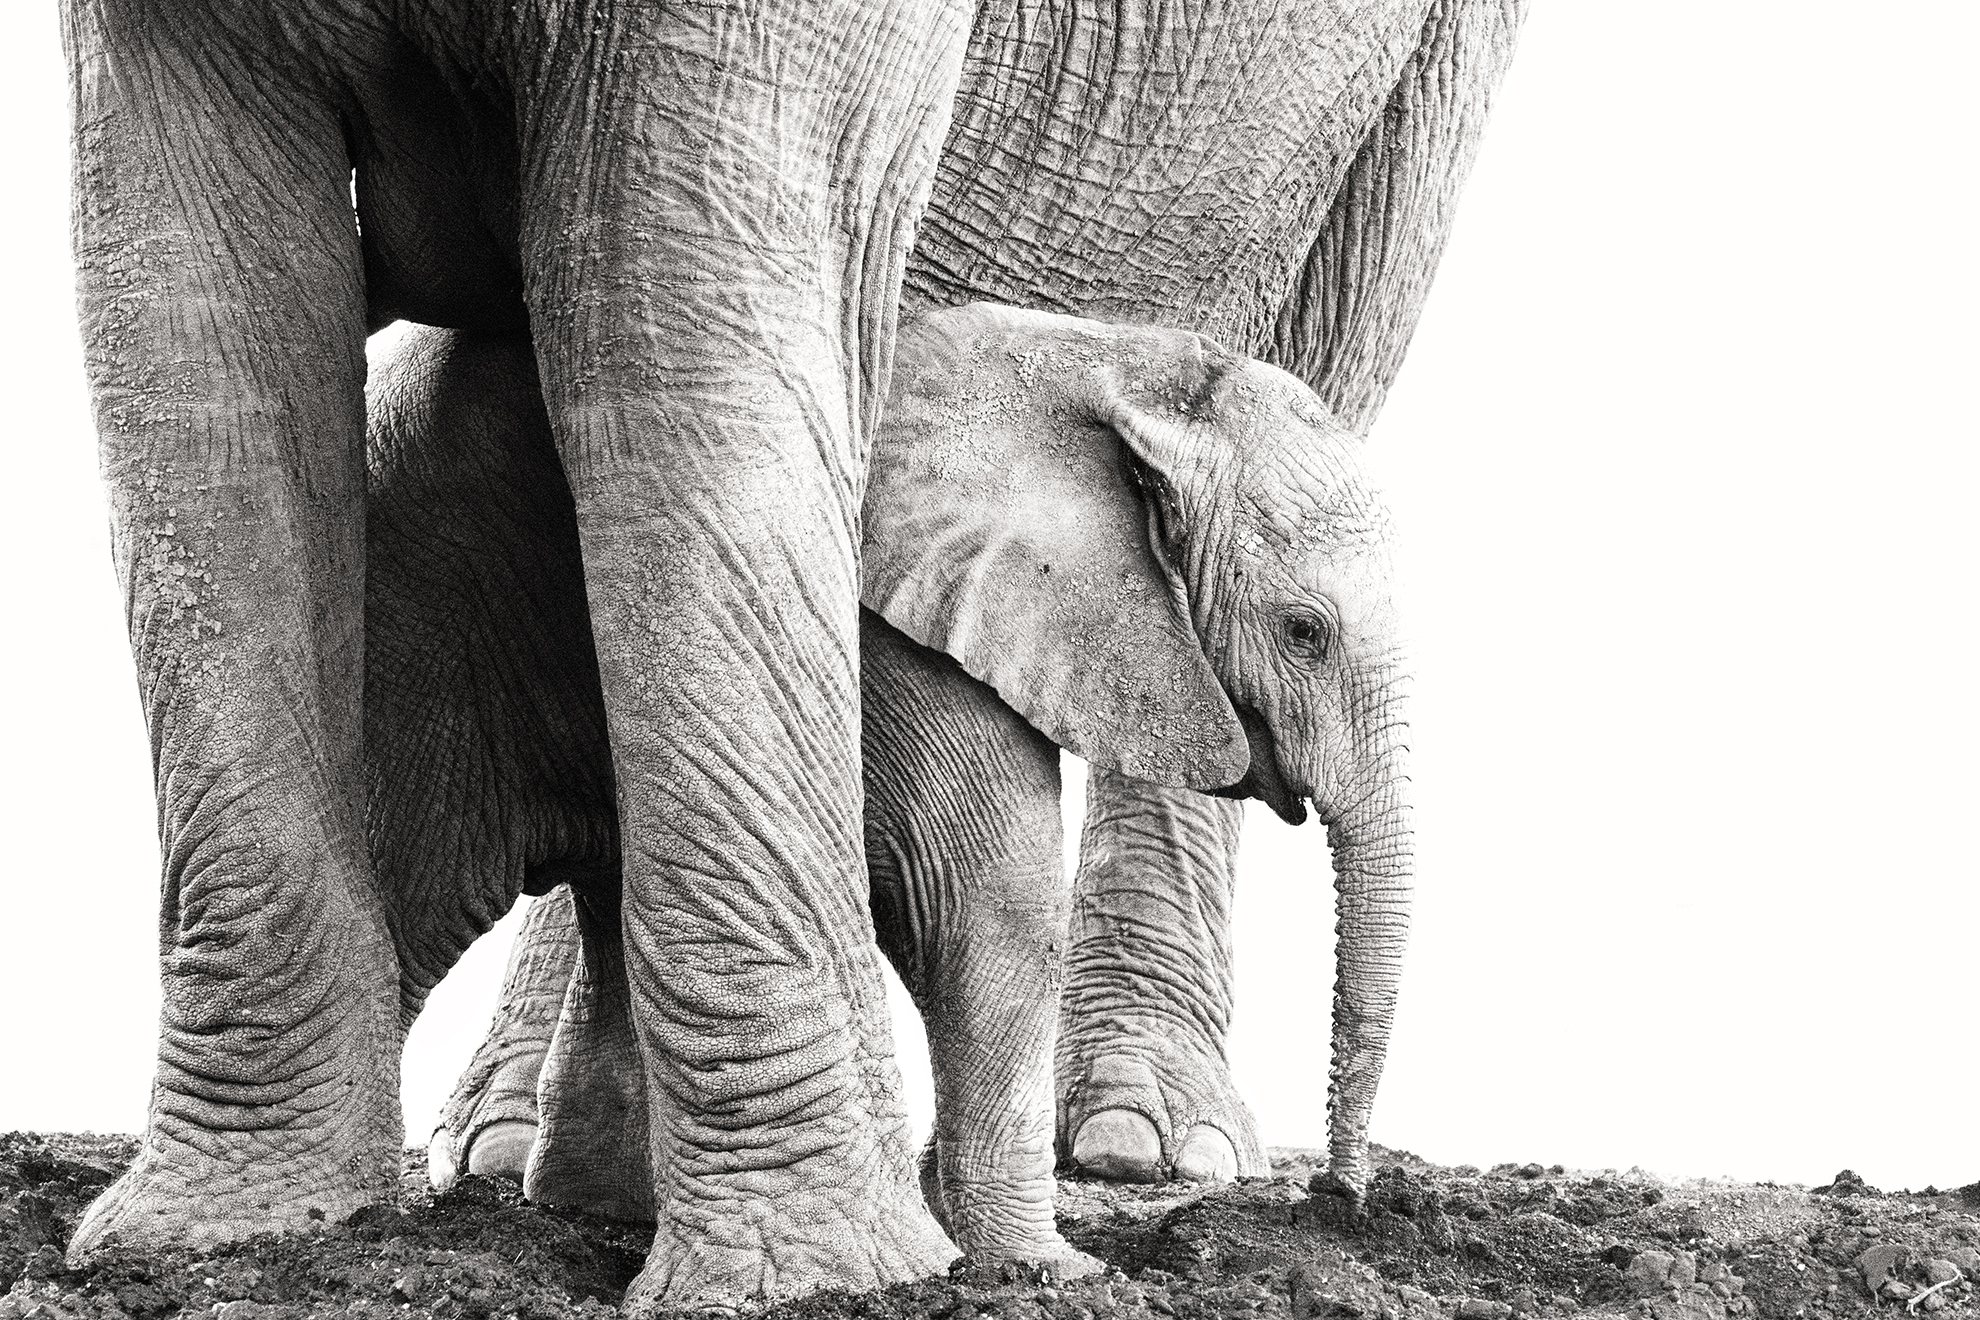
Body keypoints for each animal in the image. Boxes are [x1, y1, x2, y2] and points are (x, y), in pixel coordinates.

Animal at [360, 299, 1404, 1269]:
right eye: (1304, 632)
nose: (1339, 1200)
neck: (1110, 365)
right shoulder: (892, 617)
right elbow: (989, 897)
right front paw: (1047, 1271)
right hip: (435, 649)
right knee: (415, 886)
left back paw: (601, 1212)